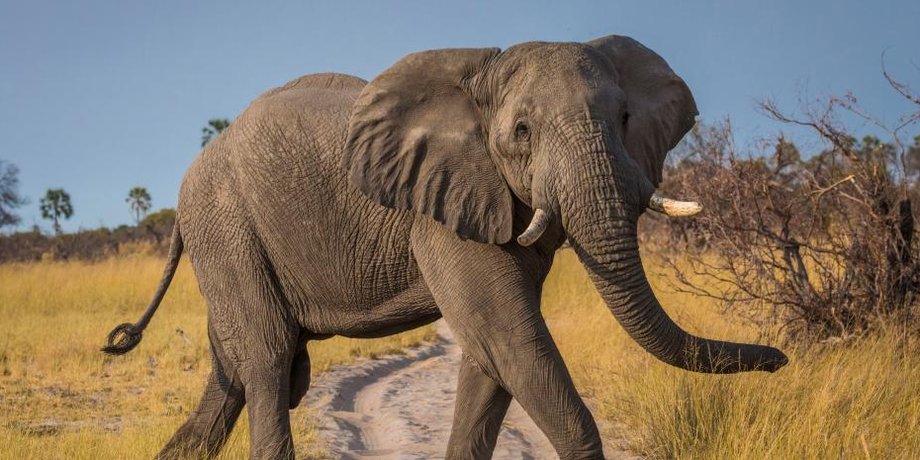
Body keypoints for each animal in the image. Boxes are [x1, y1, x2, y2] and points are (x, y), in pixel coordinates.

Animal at [102, 34, 788, 459]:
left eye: (624, 121)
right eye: (521, 132)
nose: (781, 360)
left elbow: (491, 356)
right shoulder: (441, 207)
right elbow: (510, 336)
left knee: (237, 372)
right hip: (226, 221)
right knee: (268, 361)